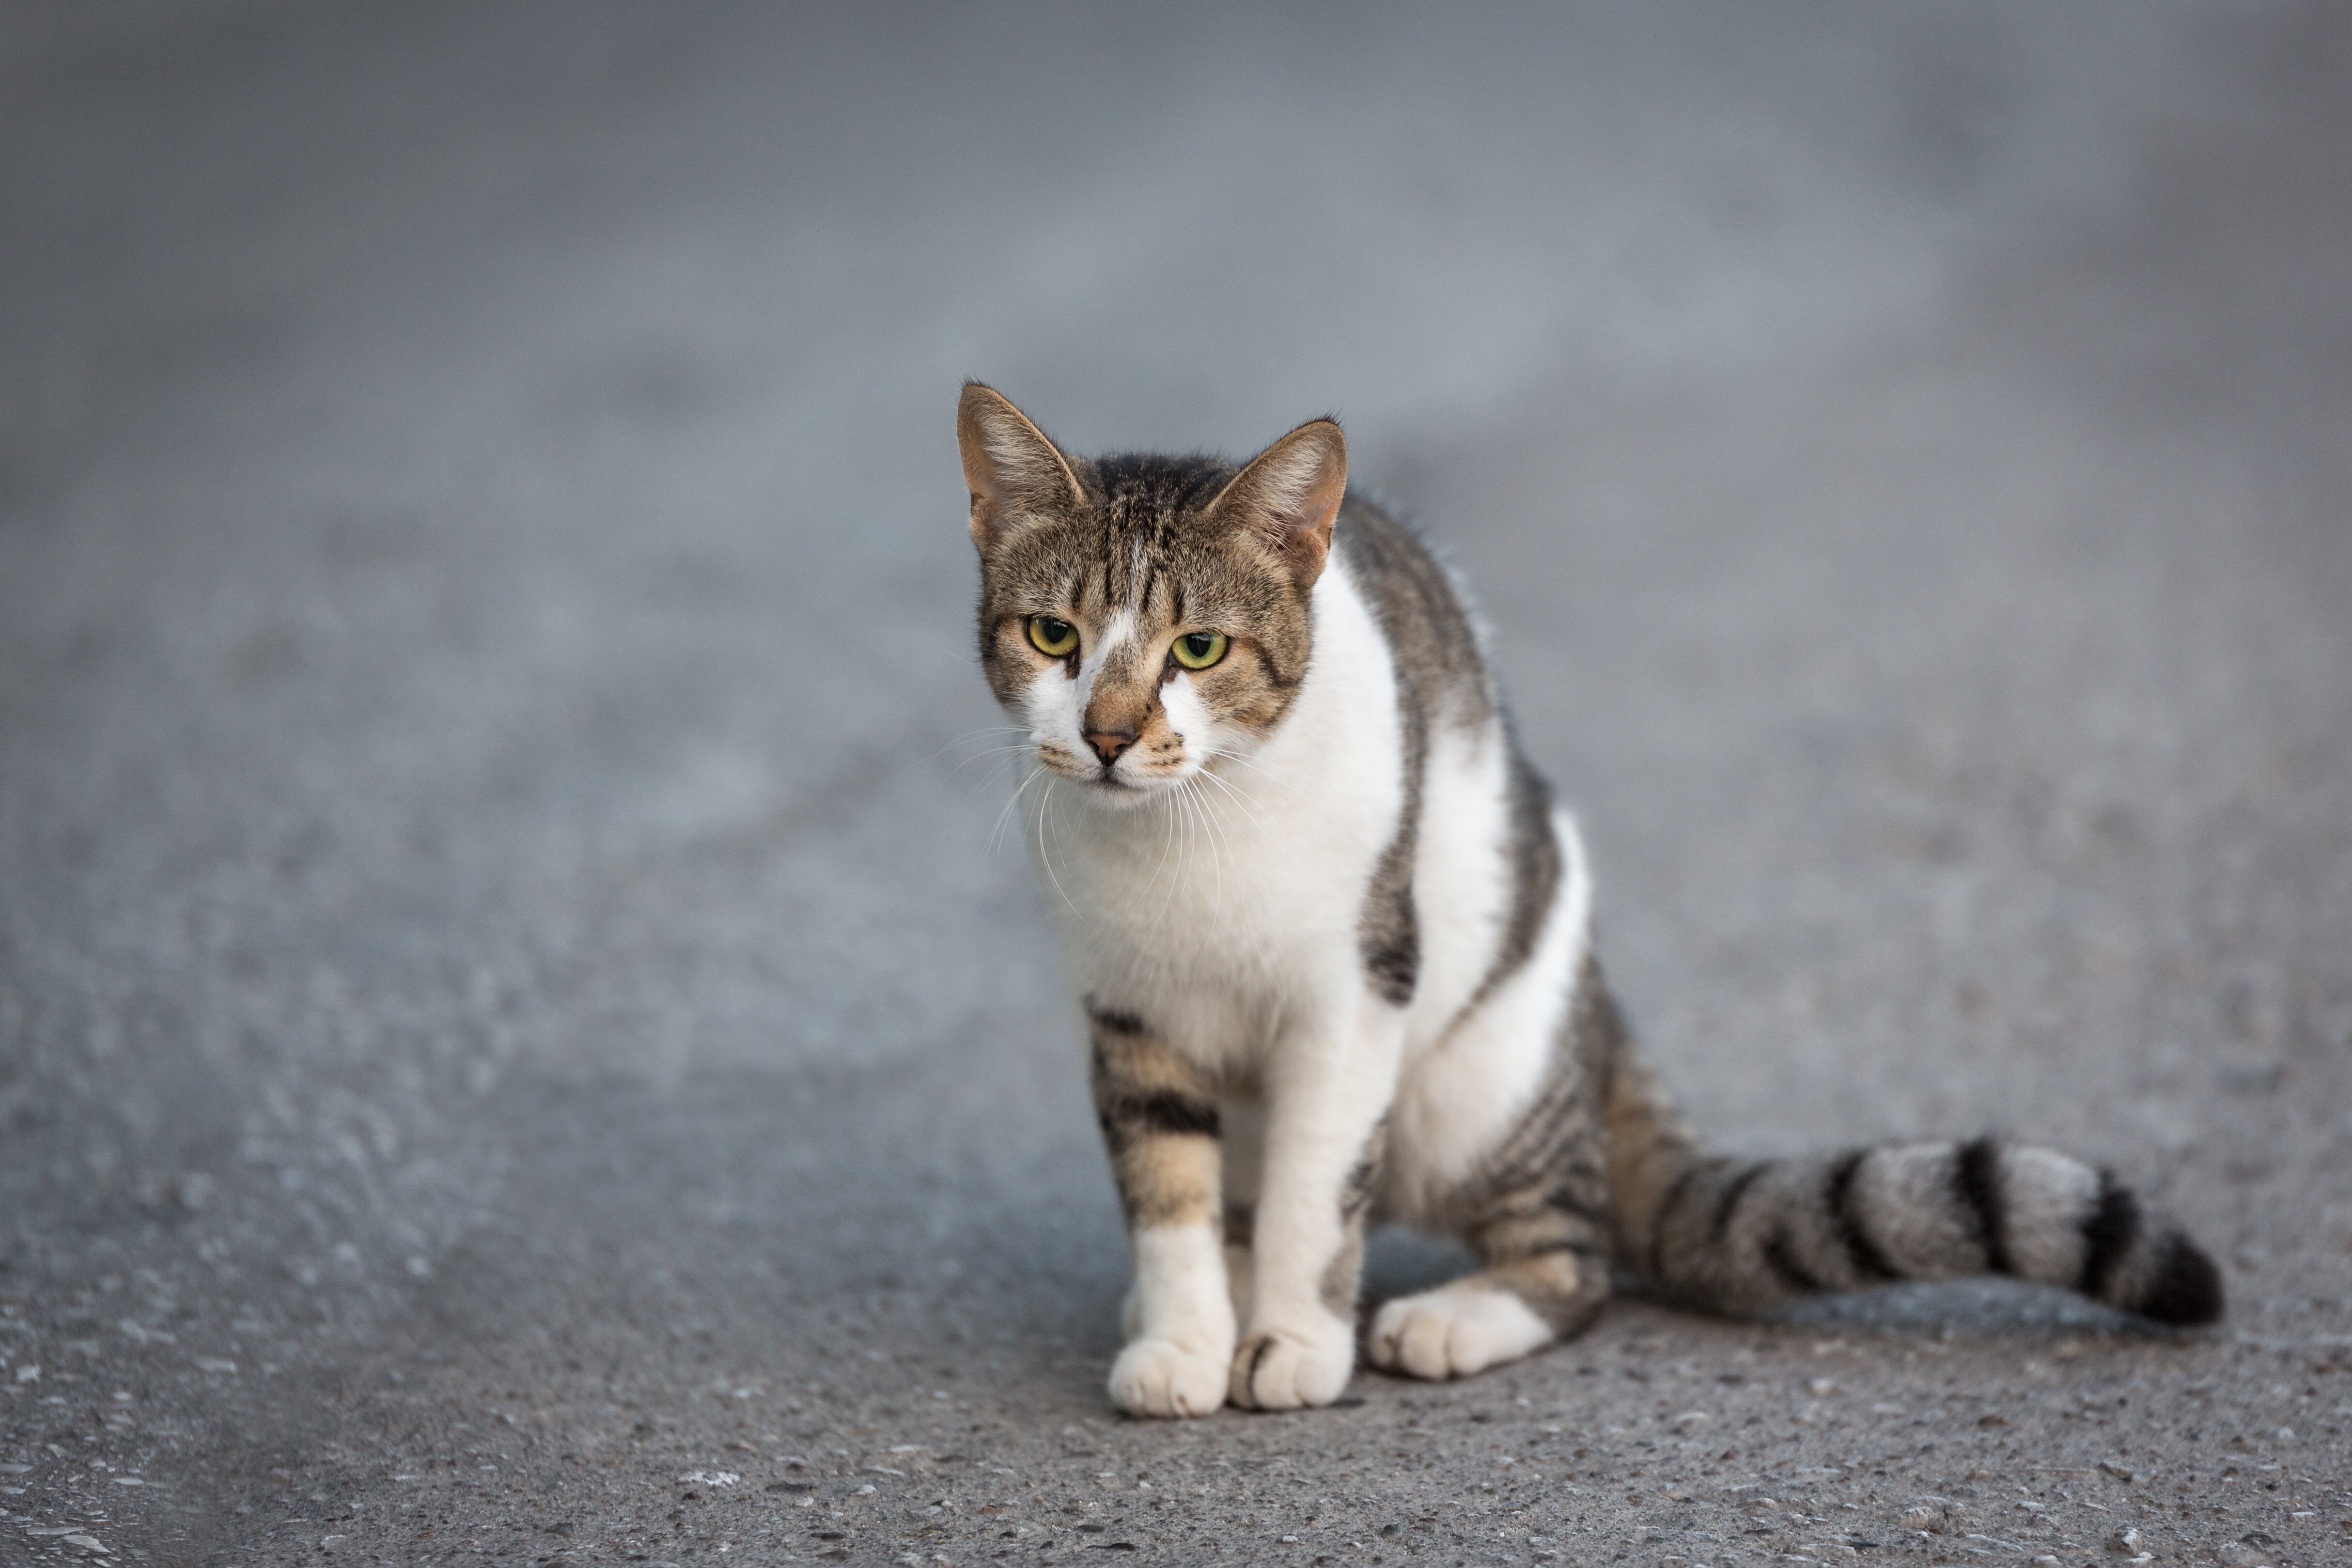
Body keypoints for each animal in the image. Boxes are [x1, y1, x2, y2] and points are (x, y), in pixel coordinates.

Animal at [955, 383, 2220, 1420]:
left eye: (1199, 650)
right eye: (1055, 636)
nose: (1108, 736)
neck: (1190, 831)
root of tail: (1598, 1021)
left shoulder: (1356, 992)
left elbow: (1321, 1188)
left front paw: (1295, 1341)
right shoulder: (1128, 1013)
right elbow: (1164, 1189)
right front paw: (1184, 1338)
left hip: (1478, 1080)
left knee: (1577, 1253)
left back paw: (1447, 1316)